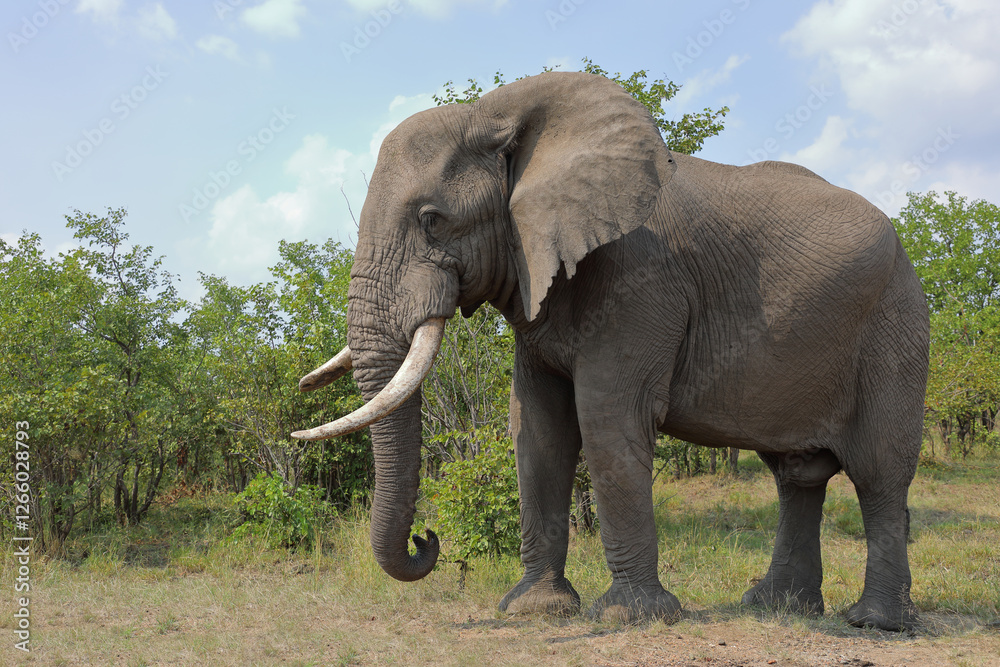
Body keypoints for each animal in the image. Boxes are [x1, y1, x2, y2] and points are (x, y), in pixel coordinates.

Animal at [292, 71, 929, 631]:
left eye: (432, 220)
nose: (425, 538)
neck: (497, 116)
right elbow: (538, 428)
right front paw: (535, 611)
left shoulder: (642, 277)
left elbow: (605, 417)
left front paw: (629, 617)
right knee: (797, 476)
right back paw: (777, 607)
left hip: (895, 322)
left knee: (879, 472)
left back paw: (876, 624)